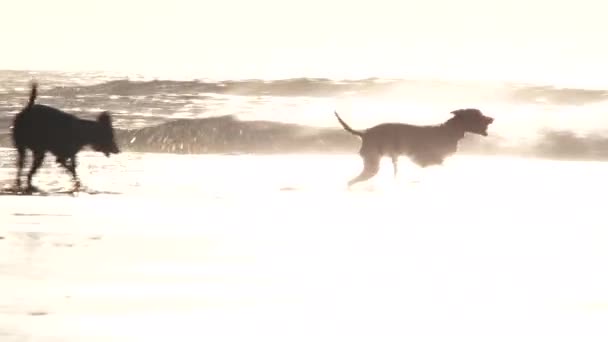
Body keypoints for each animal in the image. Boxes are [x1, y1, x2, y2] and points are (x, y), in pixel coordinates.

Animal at [332, 109, 494, 187]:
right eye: (478, 115)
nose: (492, 118)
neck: (450, 131)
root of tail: (364, 133)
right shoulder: (426, 160)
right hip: (373, 163)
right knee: (352, 181)